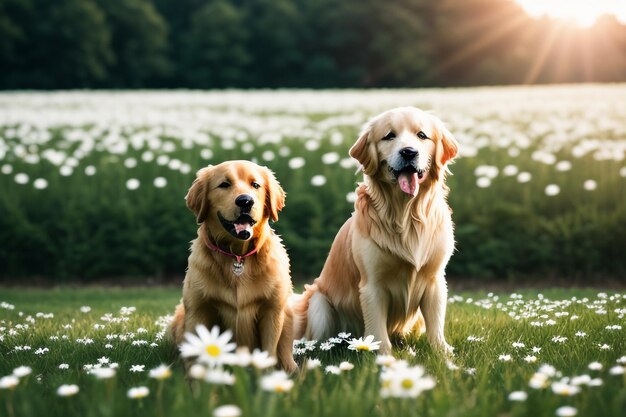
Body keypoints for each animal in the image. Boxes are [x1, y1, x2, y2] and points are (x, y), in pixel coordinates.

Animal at [169, 159, 296, 370]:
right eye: (224, 184)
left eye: (255, 185)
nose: (245, 201)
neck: (237, 255)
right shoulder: (199, 310)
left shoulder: (272, 311)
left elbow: (269, 352)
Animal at [292, 107, 458, 354]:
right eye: (389, 136)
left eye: (422, 135)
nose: (409, 152)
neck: (405, 215)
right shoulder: (372, 285)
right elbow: (378, 333)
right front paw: (383, 357)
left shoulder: (435, 280)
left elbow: (436, 326)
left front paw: (443, 355)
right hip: (319, 303)